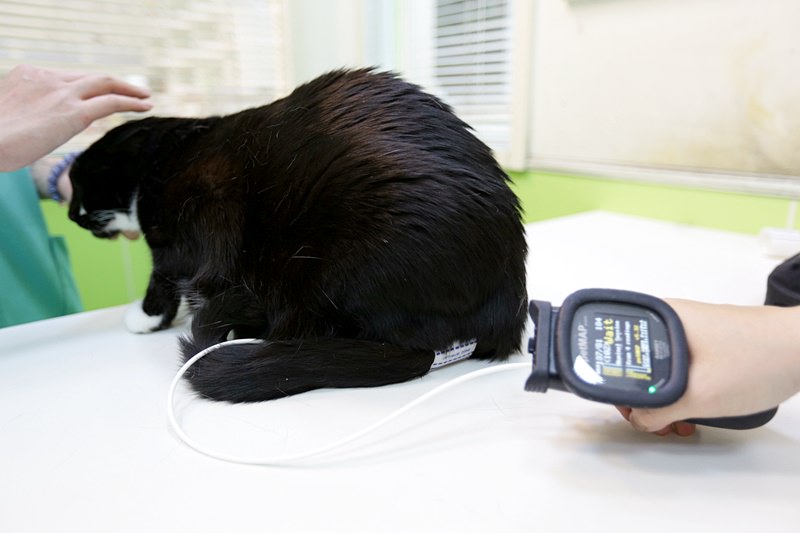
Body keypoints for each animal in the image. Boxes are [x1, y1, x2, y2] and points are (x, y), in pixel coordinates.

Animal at [69, 70, 528, 402]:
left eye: (79, 184)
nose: (71, 214)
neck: (167, 158)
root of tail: (507, 312)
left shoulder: (182, 234)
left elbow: (163, 276)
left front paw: (145, 316)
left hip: (325, 262)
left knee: (297, 325)